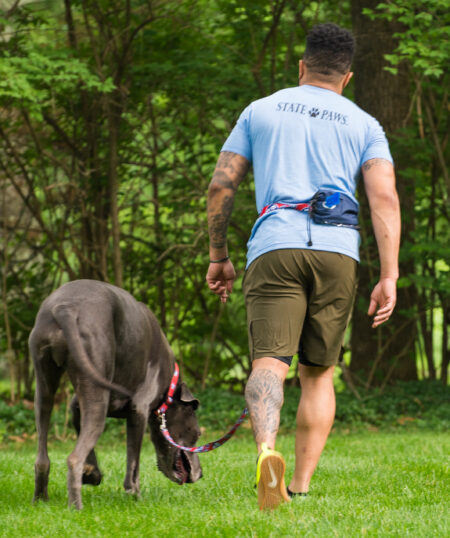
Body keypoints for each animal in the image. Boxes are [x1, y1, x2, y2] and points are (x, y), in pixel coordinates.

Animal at [29, 278, 202, 508]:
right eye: (198, 434)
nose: (201, 474)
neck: (169, 385)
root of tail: (65, 308)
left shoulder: (78, 405)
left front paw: (92, 473)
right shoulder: (139, 410)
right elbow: (133, 465)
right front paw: (136, 497)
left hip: (44, 386)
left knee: (42, 458)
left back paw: (41, 500)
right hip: (97, 401)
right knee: (74, 458)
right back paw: (76, 507)